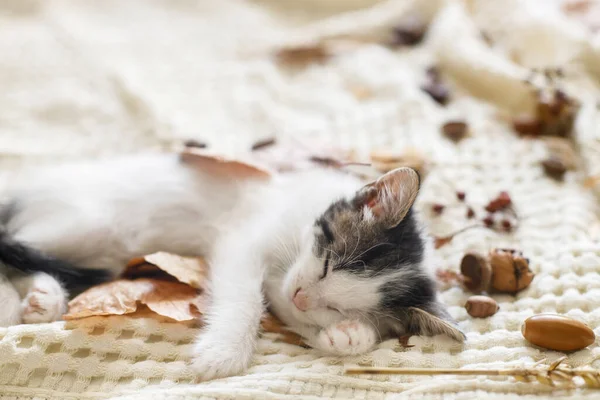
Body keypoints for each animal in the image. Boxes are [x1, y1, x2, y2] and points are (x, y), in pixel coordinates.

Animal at [0, 152, 464, 378]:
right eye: (329, 263)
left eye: (339, 306)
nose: (302, 295)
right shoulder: (244, 239)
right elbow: (245, 298)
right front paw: (223, 353)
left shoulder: (285, 298)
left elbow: (294, 317)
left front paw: (350, 336)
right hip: (89, 223)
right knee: (12, 242)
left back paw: (43, 298)